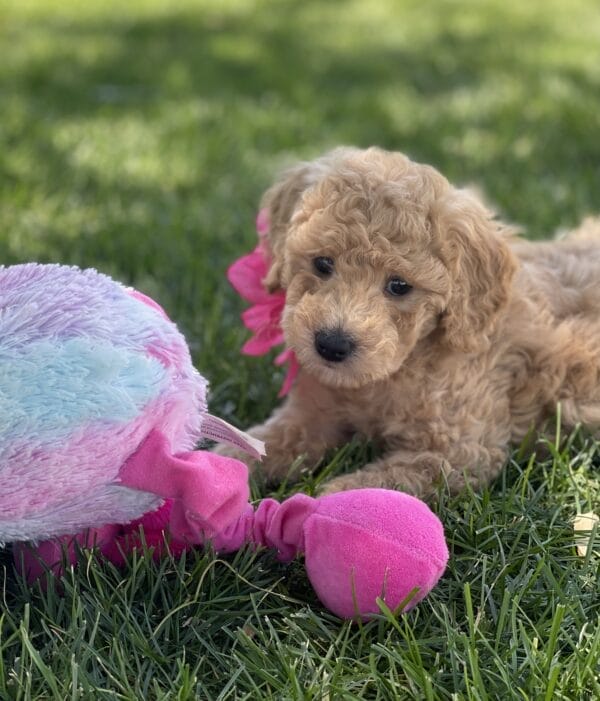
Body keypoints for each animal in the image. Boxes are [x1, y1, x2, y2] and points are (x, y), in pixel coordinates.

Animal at [232, 146, 600, 498]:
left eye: (399, 286)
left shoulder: (458, 451)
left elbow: (391, 478)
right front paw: (228, 464)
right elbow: (264, 440)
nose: (331, 345)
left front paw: (334, 500)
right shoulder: (311, 413)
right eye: (322, 264)